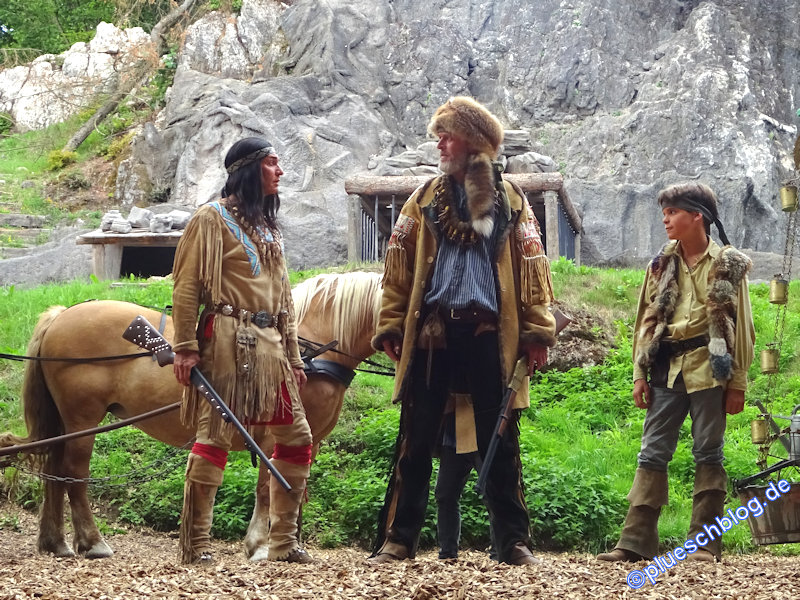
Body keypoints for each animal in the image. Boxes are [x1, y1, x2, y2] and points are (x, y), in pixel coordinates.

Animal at [0, 271, 383, 560]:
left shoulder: (310, 440)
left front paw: (291, 544)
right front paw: (260, 545)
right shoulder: (274, 435)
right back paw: (93, 542)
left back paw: (56, 542)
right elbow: (267, 487)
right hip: (83, 420)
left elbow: (296, 490)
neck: (306, 350)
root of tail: (60, 315)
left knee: (53, 472)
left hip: (67, 423)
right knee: (73, 475)